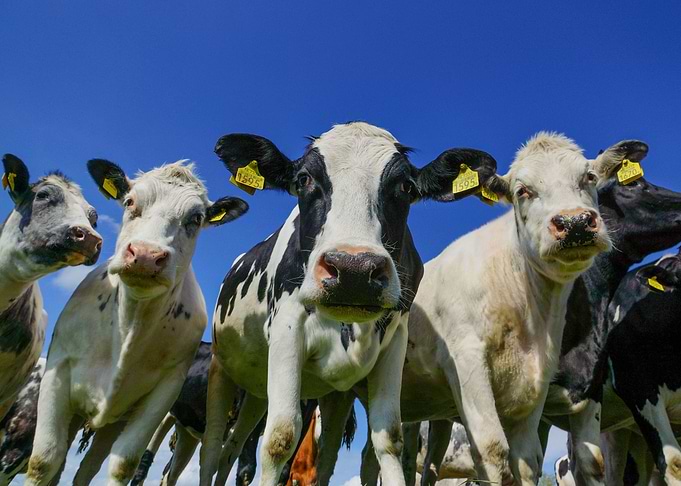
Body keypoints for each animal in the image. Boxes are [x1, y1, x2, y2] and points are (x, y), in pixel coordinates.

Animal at [24, 160, 249, 485]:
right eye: (130, 202)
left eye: (195, 218)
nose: (145, 255)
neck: (129, 326)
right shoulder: (58, 370)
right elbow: (44, 460)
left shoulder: (163, 393)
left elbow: (123, 464)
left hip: (114, 421)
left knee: (87, 468)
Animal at [198, 121, 500, 486]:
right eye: (303, 179)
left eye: (406, 186)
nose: (354, 270)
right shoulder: (287, 328)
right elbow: (280, 437)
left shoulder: (394, 342)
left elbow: (388, 439)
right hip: (222, 368)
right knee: (213, 445)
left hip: (270, 392)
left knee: (240, 447)